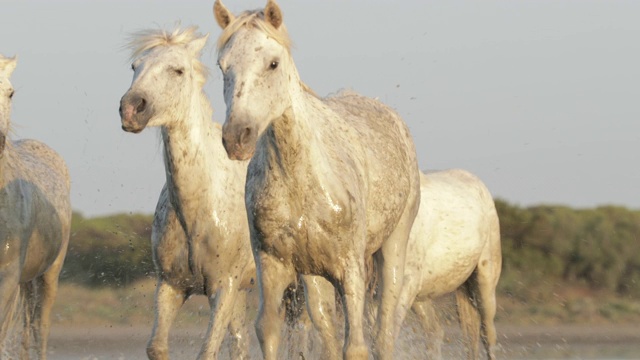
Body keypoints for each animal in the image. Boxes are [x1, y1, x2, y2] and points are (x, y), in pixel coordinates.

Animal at [117, 26, 336, 360]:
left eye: (177, 70)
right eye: (135, 66)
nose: (131, 108)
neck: (200, 207)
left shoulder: (224, 287)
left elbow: (207, 350)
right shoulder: (171, 286)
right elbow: (157, 347)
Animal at [214, 1, 420, 358]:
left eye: (273, 63)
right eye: (223, 66)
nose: (237, 136)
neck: (299, 177)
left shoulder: (350, 269)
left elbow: (356, 345)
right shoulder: (273, 265)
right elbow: (269, 331)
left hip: (392, 249)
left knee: (383, 332)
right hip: (314, 275)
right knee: (326, 327)